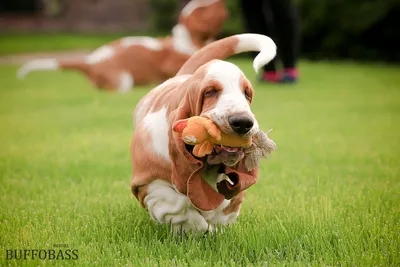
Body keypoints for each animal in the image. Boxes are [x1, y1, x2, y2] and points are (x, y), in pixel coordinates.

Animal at [130, 33, 276, 232]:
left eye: (247, 94)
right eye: (210, 92)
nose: (243, 122)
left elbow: (226, 206)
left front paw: (214, 226)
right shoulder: (147, 183)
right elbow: (179, 204)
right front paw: (196, 227)